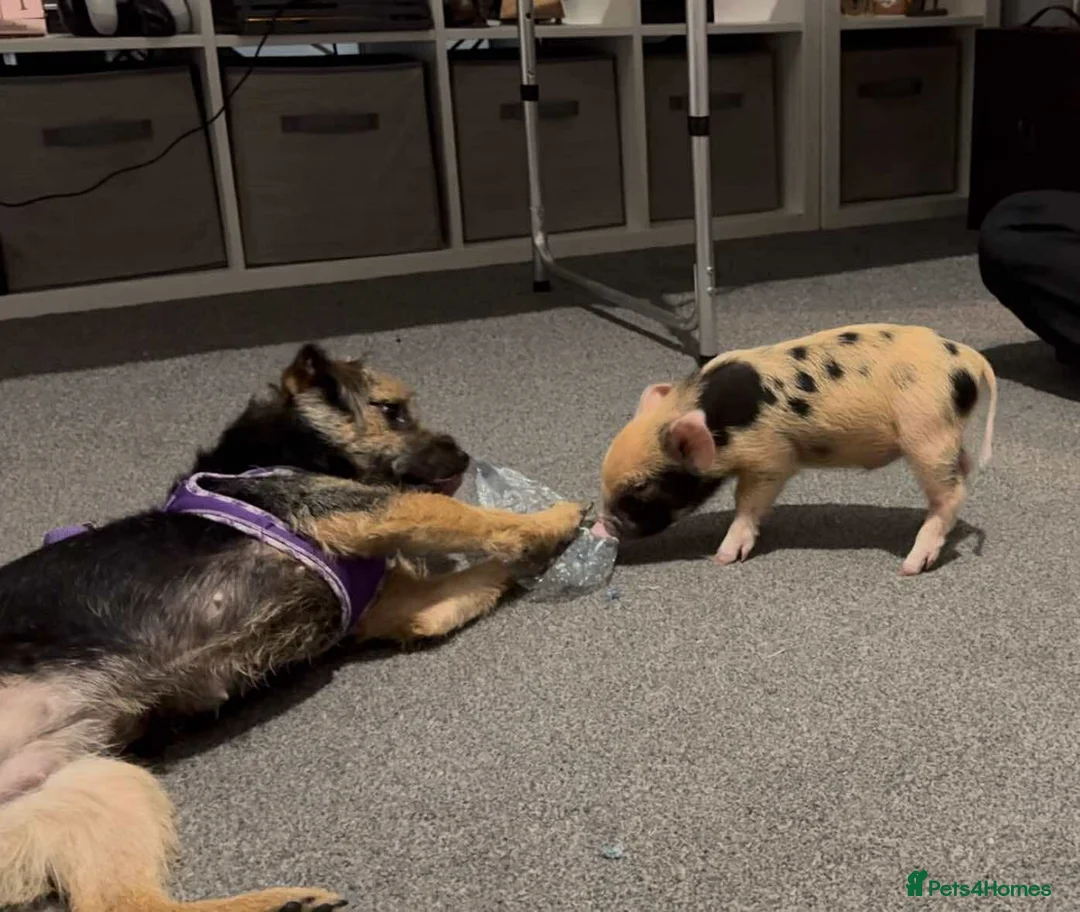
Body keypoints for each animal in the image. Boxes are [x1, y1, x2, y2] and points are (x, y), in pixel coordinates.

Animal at [594, 324, 998, 576]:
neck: (719, 422)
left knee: (952, 493)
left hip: (927, 434)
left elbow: (747, 503)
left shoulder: (770, 459)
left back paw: (910, 565)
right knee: (961, 469)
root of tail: (968, 358)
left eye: (644, 486)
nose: (602, 526)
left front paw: (723, 558)